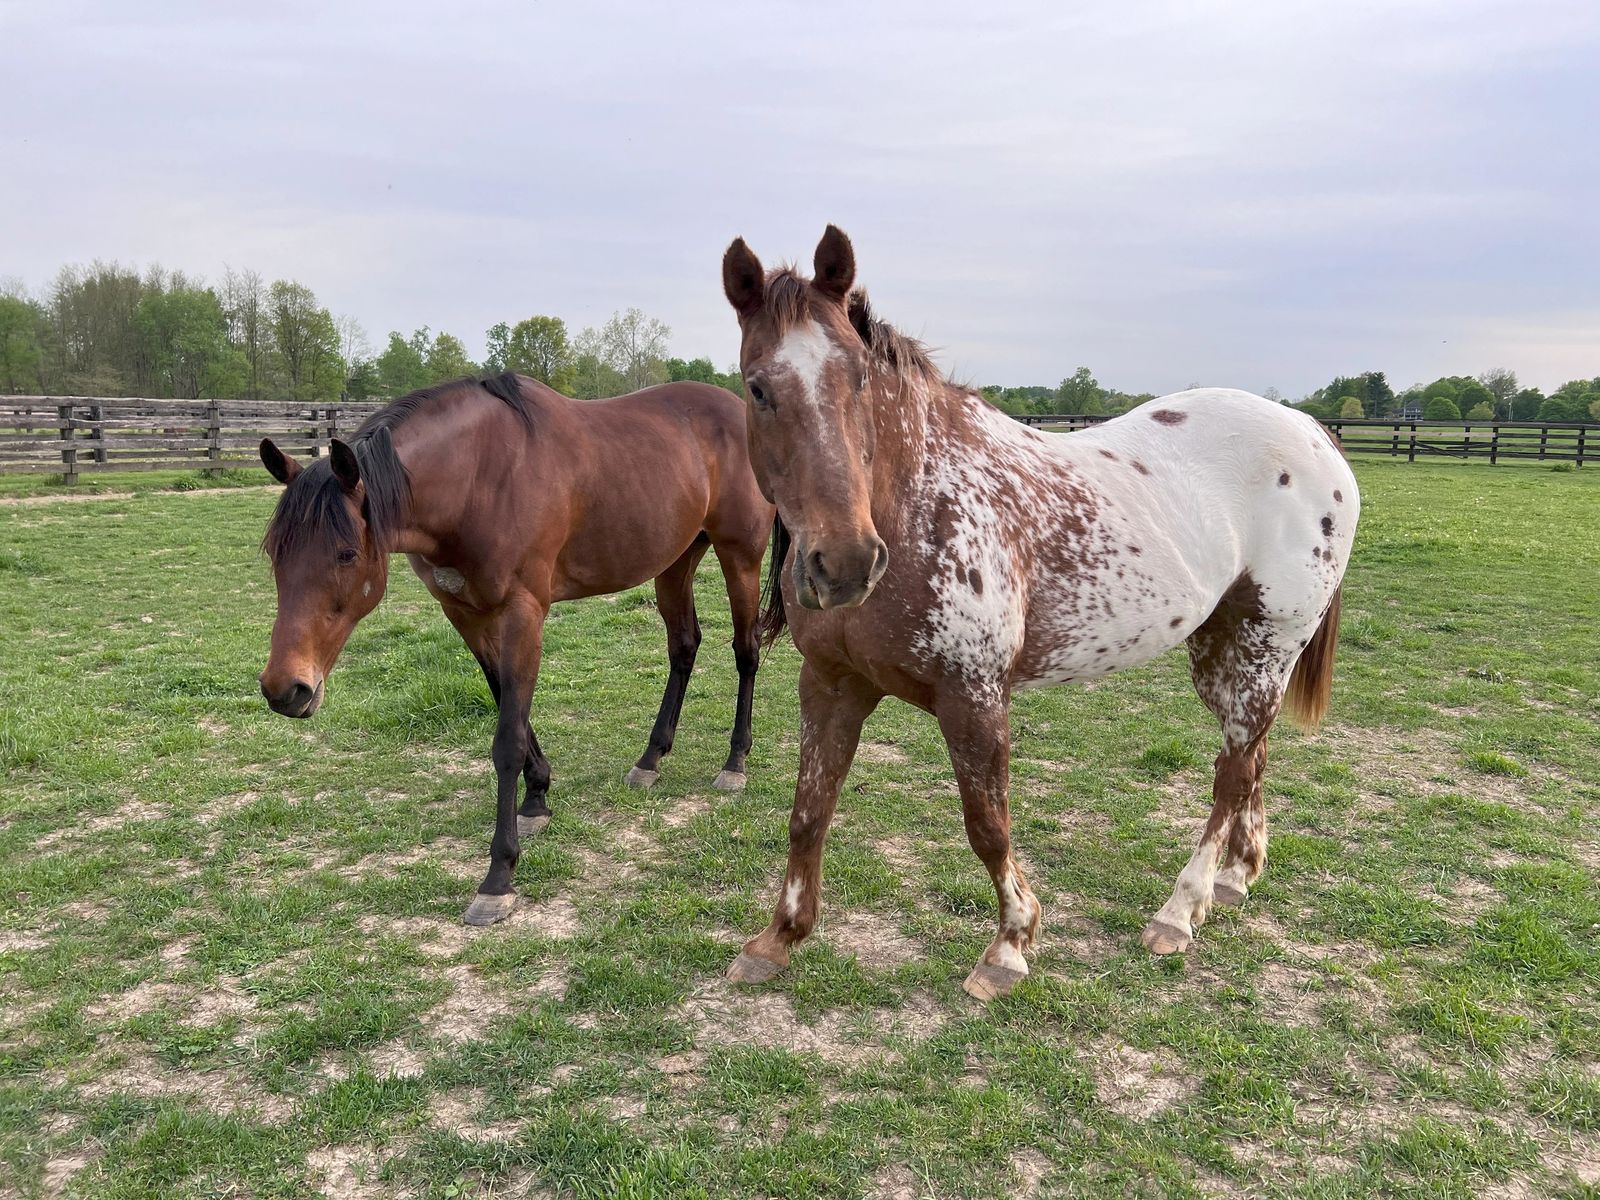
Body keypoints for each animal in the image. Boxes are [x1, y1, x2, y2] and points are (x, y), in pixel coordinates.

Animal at [256, 372, 774, 925]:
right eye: (275, 552)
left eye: (347, 554)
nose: (285, 688)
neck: (477, 481)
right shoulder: (465, 614)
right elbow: (510, 704)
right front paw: (538, 798)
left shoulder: (524, 613)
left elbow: (506, 738)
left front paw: (499, 876)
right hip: (676, 559)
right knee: (683, 647)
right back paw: (650, 759)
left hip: (740, 554)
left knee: (746, 650)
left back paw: (734, 763)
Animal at [718, 227, 1359, 999]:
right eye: (757, 387)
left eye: (860, 379)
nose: (844, 563)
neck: (917, 498)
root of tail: (1311, 431)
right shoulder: (832, 684)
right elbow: (809, 813)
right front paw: (777, 938)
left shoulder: (973, 697)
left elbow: (987, 824)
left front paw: (1009, 946)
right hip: (1223, 655)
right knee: (1252, 755)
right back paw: (1235, 878)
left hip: (1268, 644)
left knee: (1232, 772)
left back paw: (1179, 911)